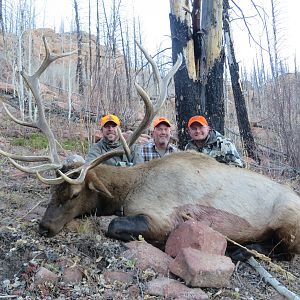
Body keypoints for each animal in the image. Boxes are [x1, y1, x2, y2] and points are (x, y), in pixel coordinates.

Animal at [0, 37, 300, 258]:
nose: (44, 227)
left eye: (74, 194)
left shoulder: (162, 216)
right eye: (53, 190)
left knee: (285, 251)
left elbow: (114, 224)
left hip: (288, 221)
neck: (128, 188)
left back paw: (242, 250)